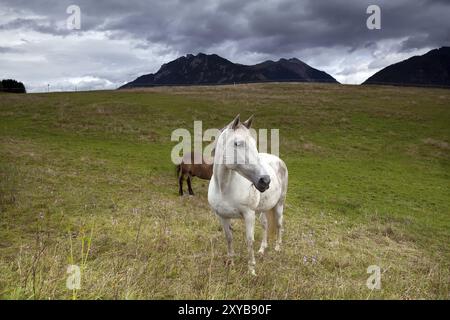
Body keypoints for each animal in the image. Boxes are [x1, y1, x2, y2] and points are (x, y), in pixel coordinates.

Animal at [208, 115, 288, 276]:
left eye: (254, 143)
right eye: (237, 143)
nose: (265, 181)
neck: (224, 188)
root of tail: (278, 160)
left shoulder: (249, 215)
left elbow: (249, 241)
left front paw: (251, 270)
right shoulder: (222, 216)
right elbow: (229, 238)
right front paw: (231, 264)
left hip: (279, 205)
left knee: (279, 224)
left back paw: (277, 248)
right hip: (264, 209)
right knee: (265, 224)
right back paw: (262, 249)